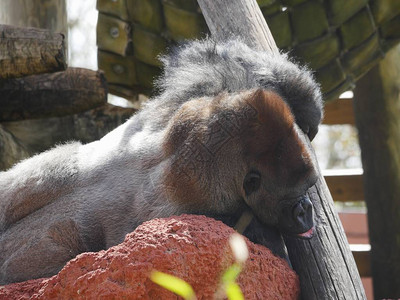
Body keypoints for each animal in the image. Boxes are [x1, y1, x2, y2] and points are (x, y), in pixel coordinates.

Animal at [0, 38, 322, 284]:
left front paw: (305, 104)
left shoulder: (195, 108)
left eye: (308, 187)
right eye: (293, 195)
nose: (306, 210)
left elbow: (209, 63)